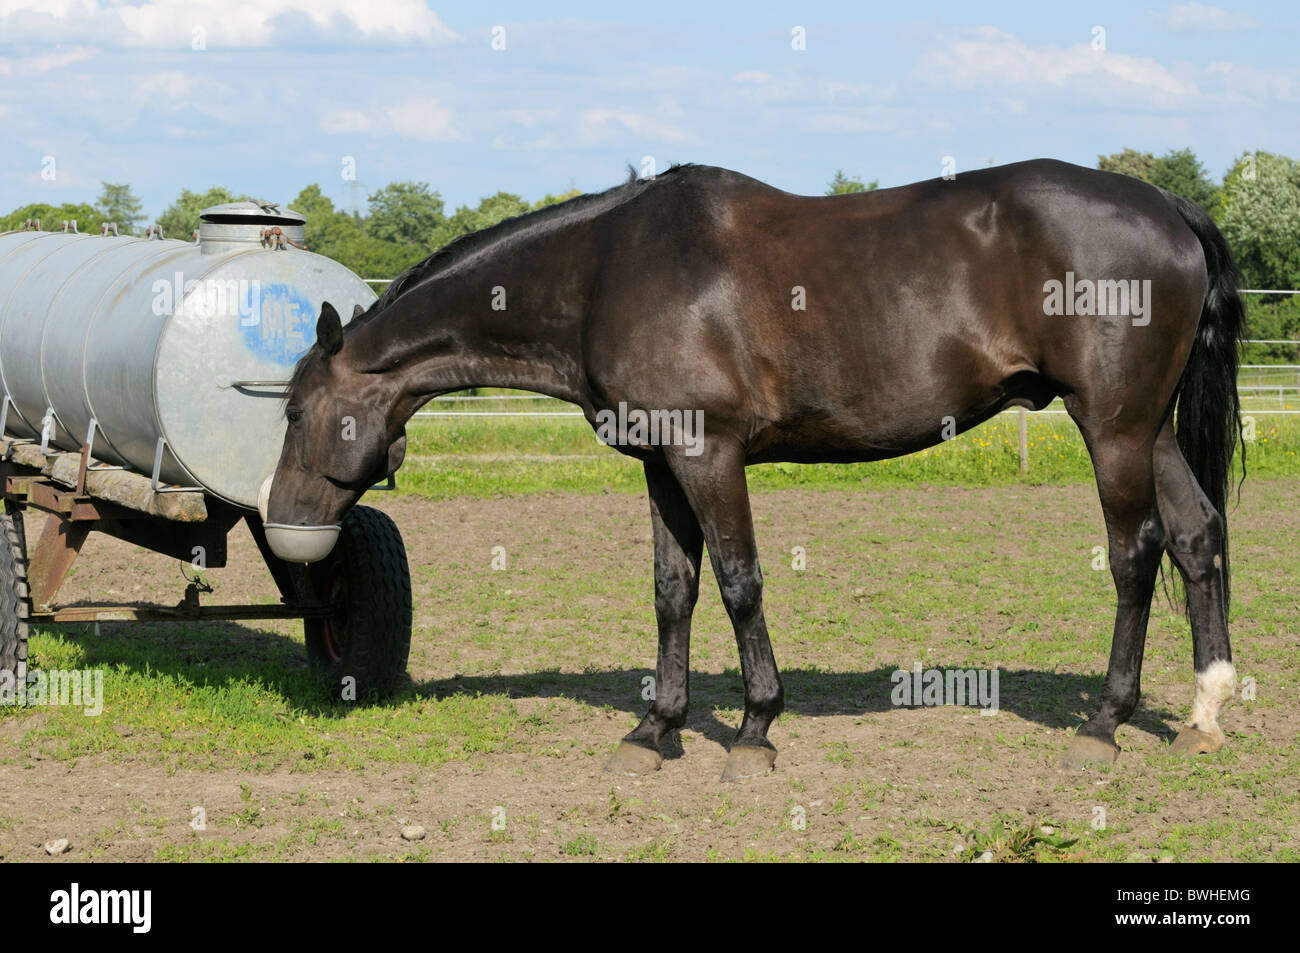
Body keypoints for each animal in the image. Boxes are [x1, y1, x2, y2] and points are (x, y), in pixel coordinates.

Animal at [258, 157, 1242, 780]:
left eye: (298, 411)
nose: (286, 522)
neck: (605, 270)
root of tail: (1168, 208)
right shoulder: (661, 463)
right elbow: (673, 590)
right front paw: (655, 729)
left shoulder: (709, 453)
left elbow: (738, 582)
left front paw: (755, 731)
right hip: (1146, 429)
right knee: (1196, 536)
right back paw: (1205, 712)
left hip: (1111, 427)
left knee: (1135, 554)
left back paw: (1106, 724)